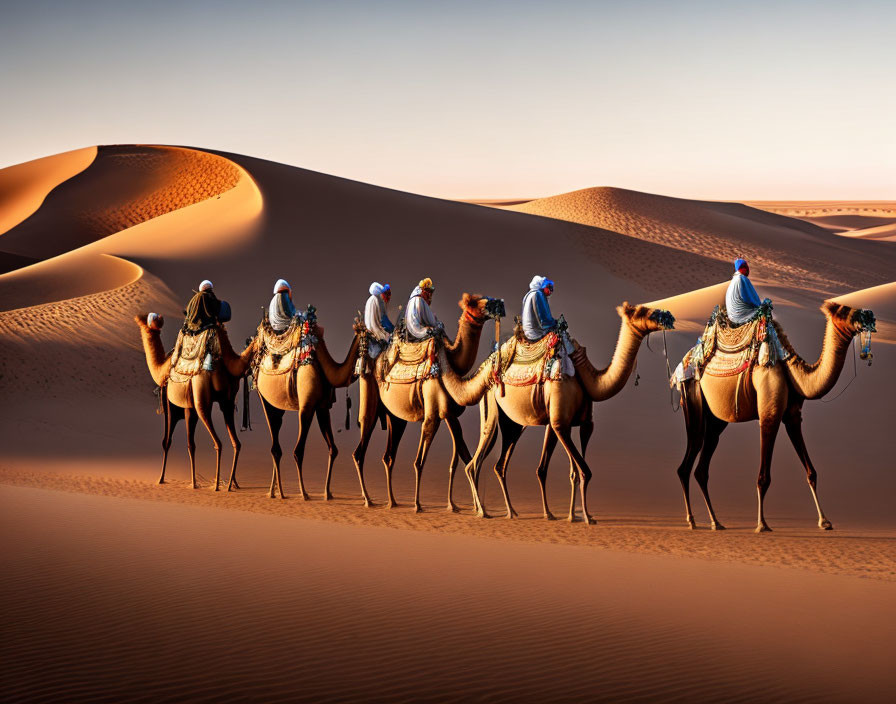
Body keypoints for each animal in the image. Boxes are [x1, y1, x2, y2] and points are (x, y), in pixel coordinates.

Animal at [135, 314, 245, 490]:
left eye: (148, 319)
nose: (140, 318)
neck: (162, 368)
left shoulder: (171, 406)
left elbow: (168, 442)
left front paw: (164, 479)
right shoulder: (188, 408)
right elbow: (190, 444)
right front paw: (192, 482)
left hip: (202, 401)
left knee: (218, 442)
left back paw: (217, 486)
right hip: (227, 401)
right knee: (236, 442)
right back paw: (232, 484)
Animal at [352, 294, 504, 516]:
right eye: (478, 302)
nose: (500, 304)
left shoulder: (449, 414)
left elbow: (463, 455)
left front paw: (461, 506)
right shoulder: (432, 413)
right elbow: (420, 461)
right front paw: (418, 505)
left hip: (395, 418)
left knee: (388, 456)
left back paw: (392, 501)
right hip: (369, 397)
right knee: (359, 450)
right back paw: (369, 500)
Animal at [452, 302, 676, 524]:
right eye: (644, 311)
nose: (667, 316)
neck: (588, 379)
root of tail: (484, 371)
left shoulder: (582, 424)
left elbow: (569, 471)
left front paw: (569, 515)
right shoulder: (560, 422)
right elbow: (584, 471)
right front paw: (585, 517)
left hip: (513, 425)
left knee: (499, 464)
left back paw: (511, 512)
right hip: (491, 408)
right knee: (475, 462)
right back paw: (483, 511)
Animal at [672, 300, 876, 532]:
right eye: (847, 311)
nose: (869, 315)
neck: (794, 374)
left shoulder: (793, 417)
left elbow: (811, 472)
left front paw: (825, 521)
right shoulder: (769, 413)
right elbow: (763, 477)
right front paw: (762, 524)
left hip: (716, 421)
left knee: (702, 466)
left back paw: (716, 522)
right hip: (692, 396)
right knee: (687, 460)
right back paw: (692, 520)